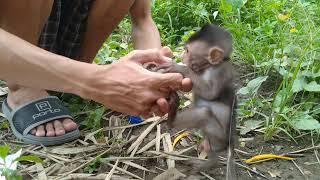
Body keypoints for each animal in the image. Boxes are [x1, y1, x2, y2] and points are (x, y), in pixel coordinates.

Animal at [156, 24, 236, 179]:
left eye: (187, 51)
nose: (181, 56)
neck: (208, 67)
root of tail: (229, 143)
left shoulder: (220, 71)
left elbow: (211, 93)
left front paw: (178, 67)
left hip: (218, 135)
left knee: (204, 114)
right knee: (208, 144)